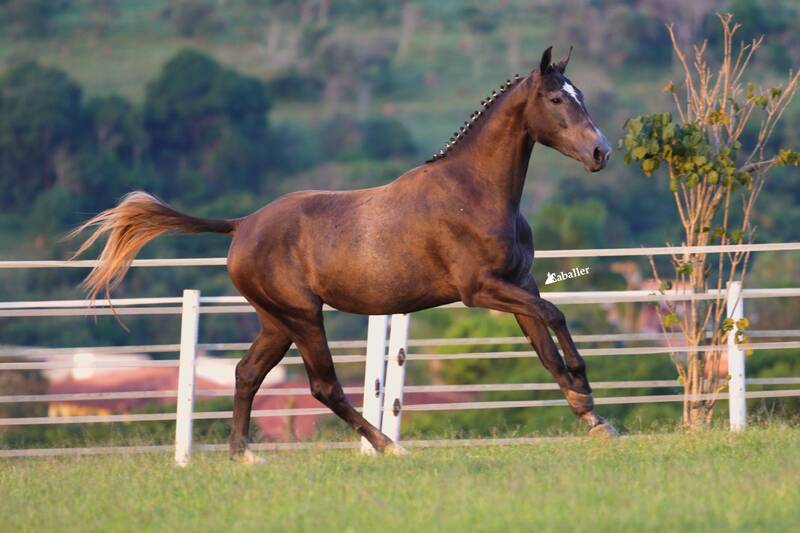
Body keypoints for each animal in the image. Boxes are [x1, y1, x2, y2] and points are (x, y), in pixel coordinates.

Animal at [70, 46, 620, 462]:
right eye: (555, 98)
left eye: (581, 96)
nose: (601, 152)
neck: (474, 191)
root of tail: (242, 225)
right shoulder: (480, 290)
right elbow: (555, 314)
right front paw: (586, 390)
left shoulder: (518, 284)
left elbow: (545, 342)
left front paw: (592, 417)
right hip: (303, 316)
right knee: (324, 387)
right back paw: (388, 447)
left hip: (277, 322)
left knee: (247, 373)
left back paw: (243, 455)